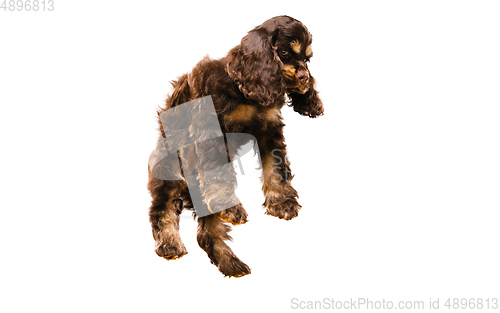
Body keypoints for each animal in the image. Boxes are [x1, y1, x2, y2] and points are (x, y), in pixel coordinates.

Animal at [146, 15, 324, 276]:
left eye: (307, 59)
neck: (242, 90)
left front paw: (282, 203)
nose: (305, 78)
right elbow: (219, 173)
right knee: (161, 210)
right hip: (170, 170)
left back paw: (232, 264)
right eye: (283, 52)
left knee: (206, 232)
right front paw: (229, 206)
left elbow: (276, 166)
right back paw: (170, 245)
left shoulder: (269, 126)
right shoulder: (210, 131)